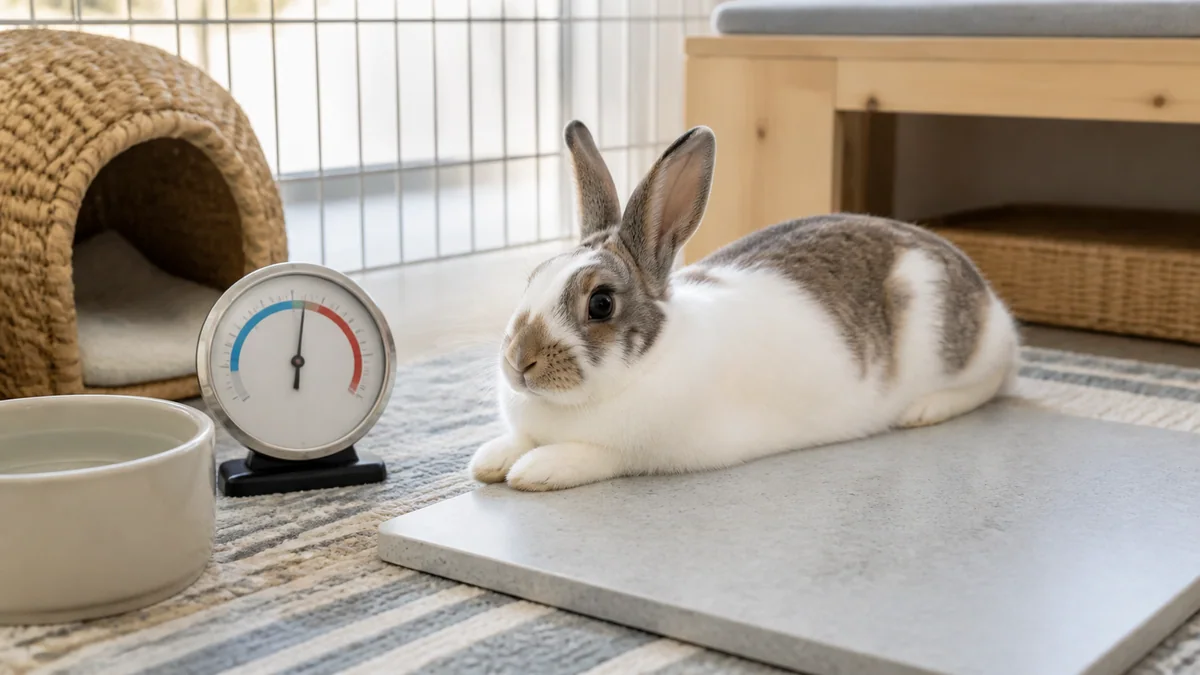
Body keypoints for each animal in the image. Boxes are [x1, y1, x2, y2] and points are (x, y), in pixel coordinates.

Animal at [468, 120, 1020, 492]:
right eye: (532, 279)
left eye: (601, 303)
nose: (518, 363)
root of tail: (988, 298)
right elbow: (515, 441)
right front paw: (489, 459)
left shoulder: (639, 451)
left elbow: (588, 454)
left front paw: (536, 470)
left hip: (962, 346)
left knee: (990, 381)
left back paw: (924, 410)